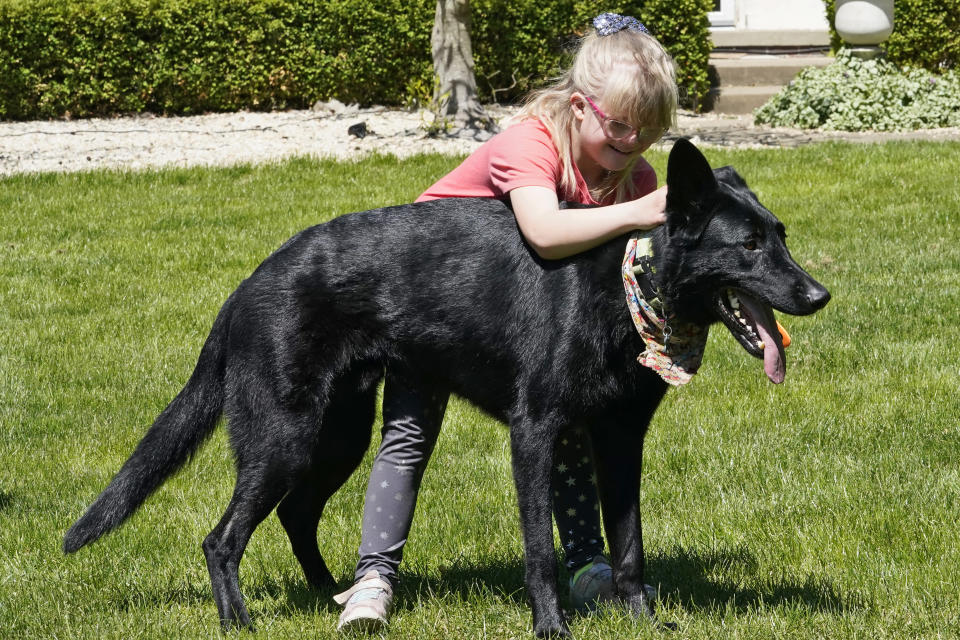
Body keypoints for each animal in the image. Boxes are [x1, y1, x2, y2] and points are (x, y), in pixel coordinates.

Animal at [63, 141, 824, 640]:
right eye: (748, 245)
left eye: (781, 235)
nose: (819, 295)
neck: (627, 284)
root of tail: (247, 286)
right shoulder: (534, 432)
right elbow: (540, 549)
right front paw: (551, 627)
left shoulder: (619, 442)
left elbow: (629, 545)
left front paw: (642, 622)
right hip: (284, 438)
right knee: (222, 539)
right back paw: (242, 621)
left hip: (335, 438)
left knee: (296, 514)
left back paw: (333, 592)